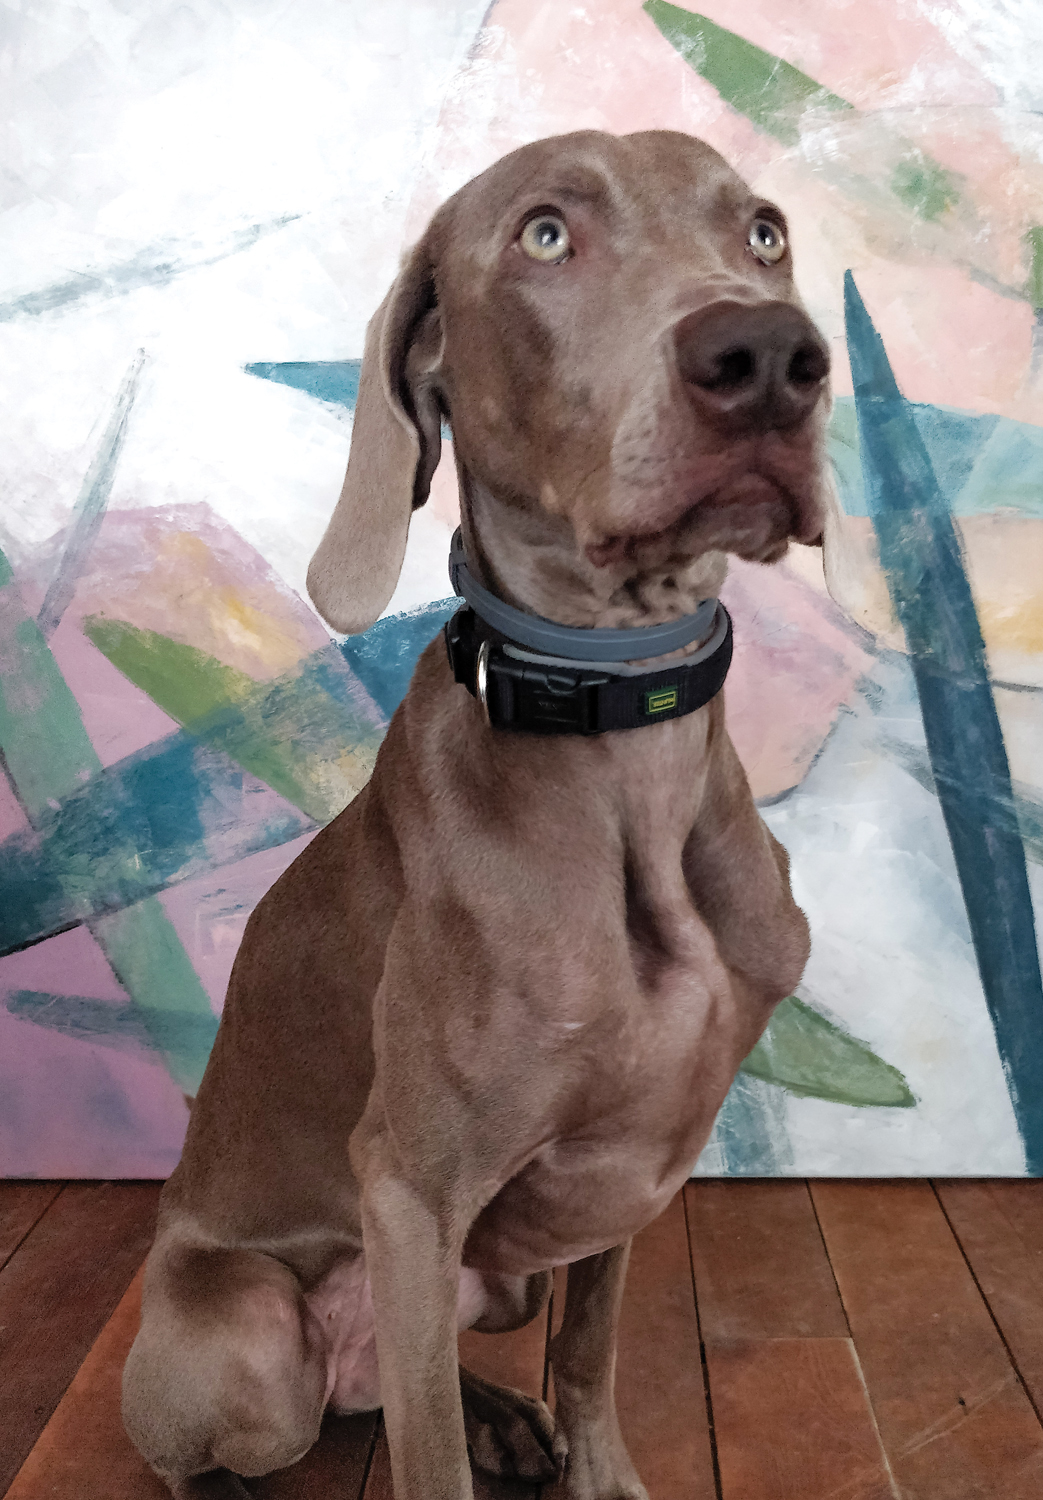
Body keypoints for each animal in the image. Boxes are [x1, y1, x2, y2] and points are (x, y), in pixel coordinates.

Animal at [123, 128, 831, 1500]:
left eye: (765, 232)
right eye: (543, 235)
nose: (772, 359)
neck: (620, 748)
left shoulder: (634, 1164)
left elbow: (590, 1352)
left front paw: (593, 1471)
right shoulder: (408, 1189)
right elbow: (429, 1463)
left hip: (489, 1279)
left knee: (412, 1381)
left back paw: (502, 1413)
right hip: (253, 1332)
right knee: (239, 1441)